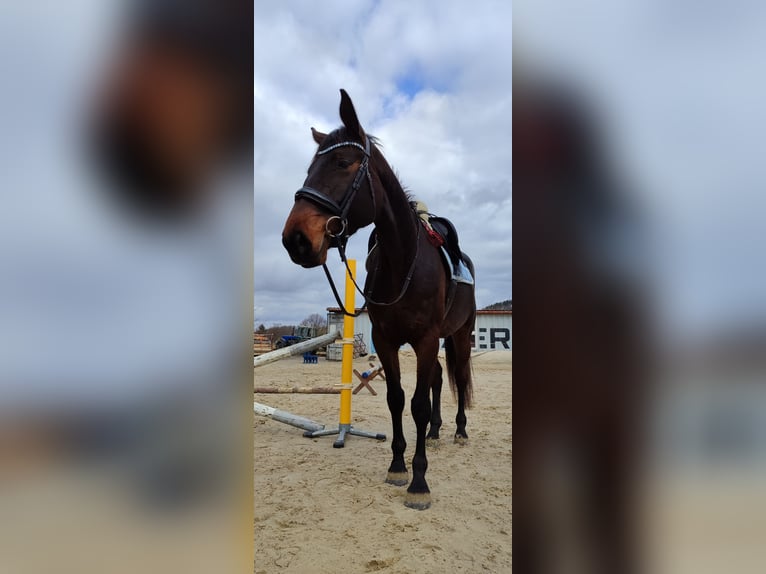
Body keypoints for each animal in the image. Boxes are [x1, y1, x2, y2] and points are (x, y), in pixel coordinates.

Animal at [282, 89, 477, 510]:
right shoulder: (387, 341)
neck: (403, 260)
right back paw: (435, 432)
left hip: (457, 336)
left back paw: (458, 431)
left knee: (457, 376)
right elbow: (396, 398)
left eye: (342, 163)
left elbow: (417, 403)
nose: (295, 239)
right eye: (309, 168)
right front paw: (398, 465)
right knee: (440, 378)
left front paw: (419, 482)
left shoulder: (424, 340)